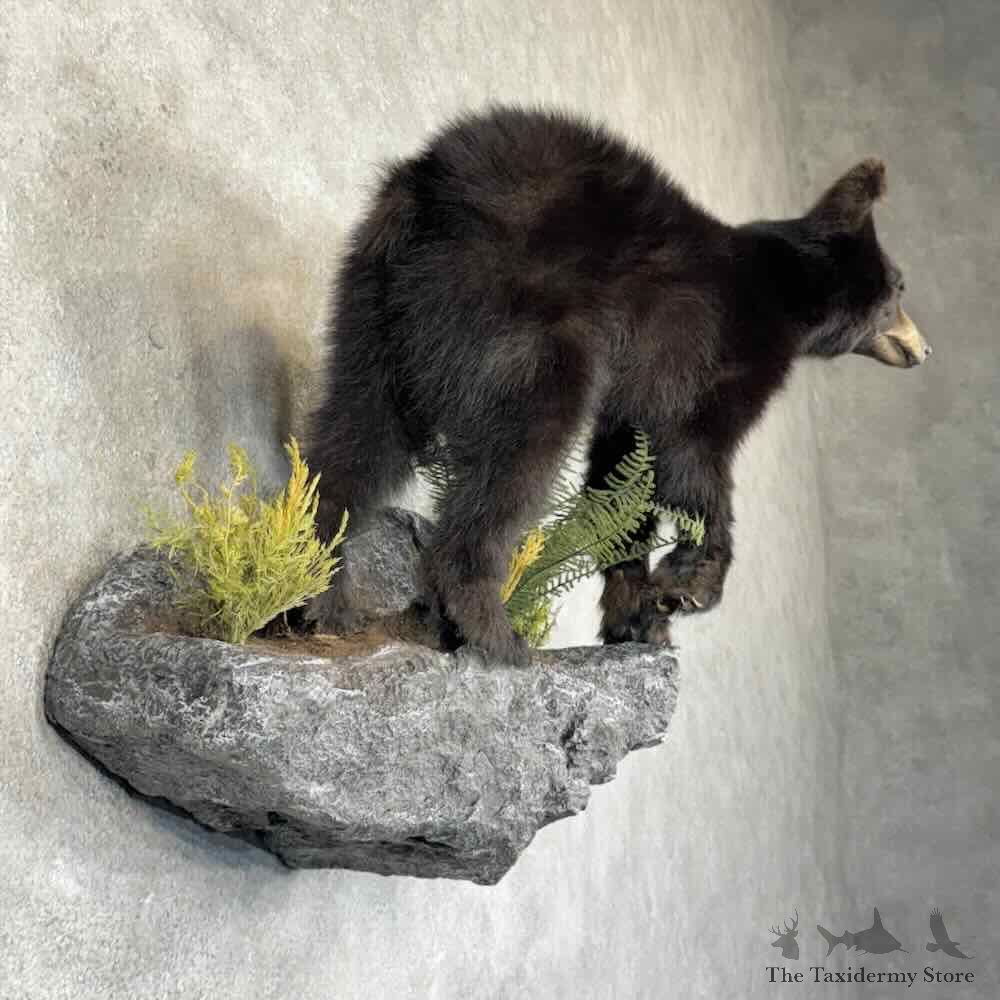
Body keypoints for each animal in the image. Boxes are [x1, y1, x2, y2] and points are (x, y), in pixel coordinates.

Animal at [305, 106, 930, 665]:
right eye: (899, 289)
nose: (925, 350)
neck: (787, 298)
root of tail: (430, 185)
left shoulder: (636, 398)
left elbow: (623, 480)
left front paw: (638, 618)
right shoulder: (717, 361)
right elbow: (693, 460)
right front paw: (690, 584)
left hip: (373, 307)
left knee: (355, 434)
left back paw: (321, 595)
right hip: (520, 322)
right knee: (514, 459)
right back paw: (491, 632)